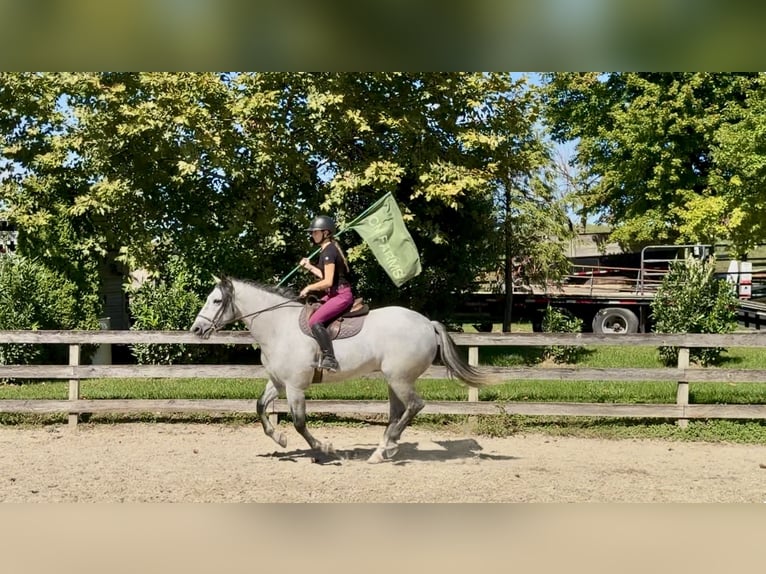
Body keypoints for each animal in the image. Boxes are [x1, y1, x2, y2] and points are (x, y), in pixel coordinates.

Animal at [190, 276, 496, 463]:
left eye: (216, 301)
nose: (196, 329)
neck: (278, 326)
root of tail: (427, 323)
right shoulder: (277, 383)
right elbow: (260, 407)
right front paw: (280, 439)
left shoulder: (295, 387)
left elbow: (299, 423)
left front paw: (323, 448)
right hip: (394, 380)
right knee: (397, 412)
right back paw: (381, 451)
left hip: (400, 378)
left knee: (414, 406)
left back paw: (390, 445)